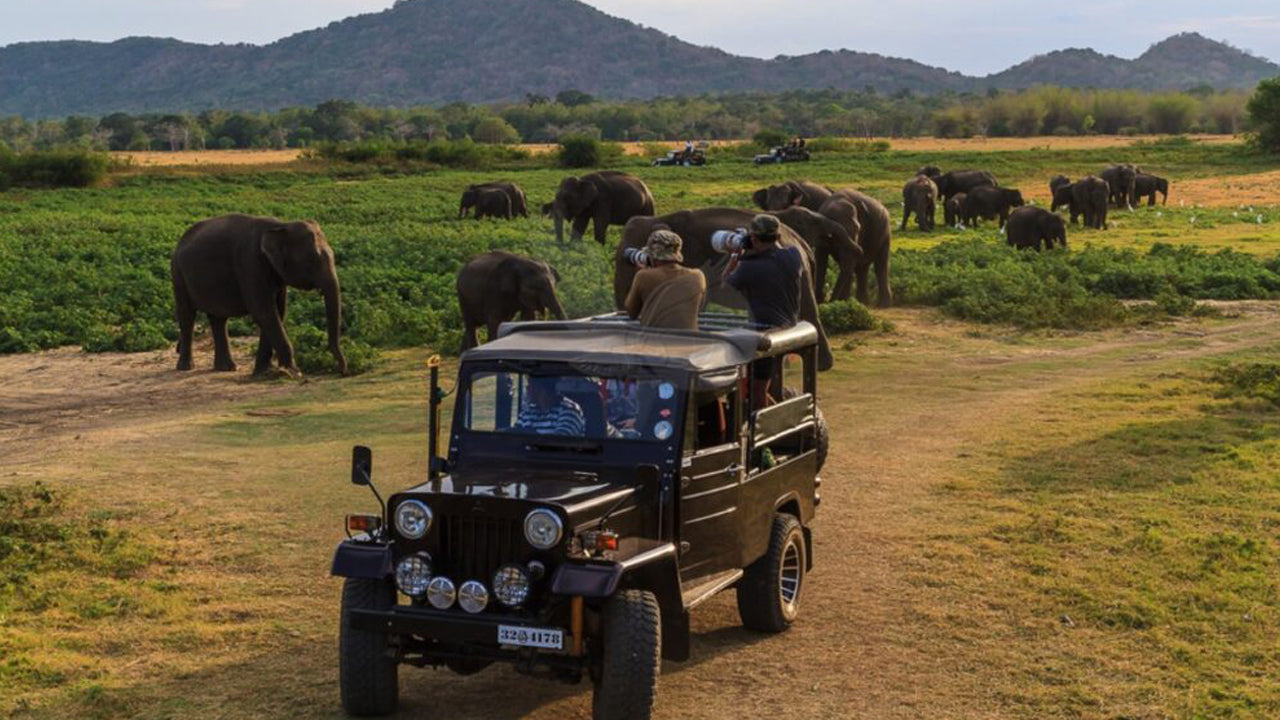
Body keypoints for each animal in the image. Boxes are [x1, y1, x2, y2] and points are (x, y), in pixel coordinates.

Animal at [174, 211, 350, 376]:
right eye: (310, 262)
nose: (342, 371)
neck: (282, 225)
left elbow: (277, 311)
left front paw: (265, 372)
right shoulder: (250, 262)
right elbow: (264, 312)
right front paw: (294, 372)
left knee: (218, 319)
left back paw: (226, 368)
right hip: (178, 273)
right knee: (187, 315)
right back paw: (186, 367)